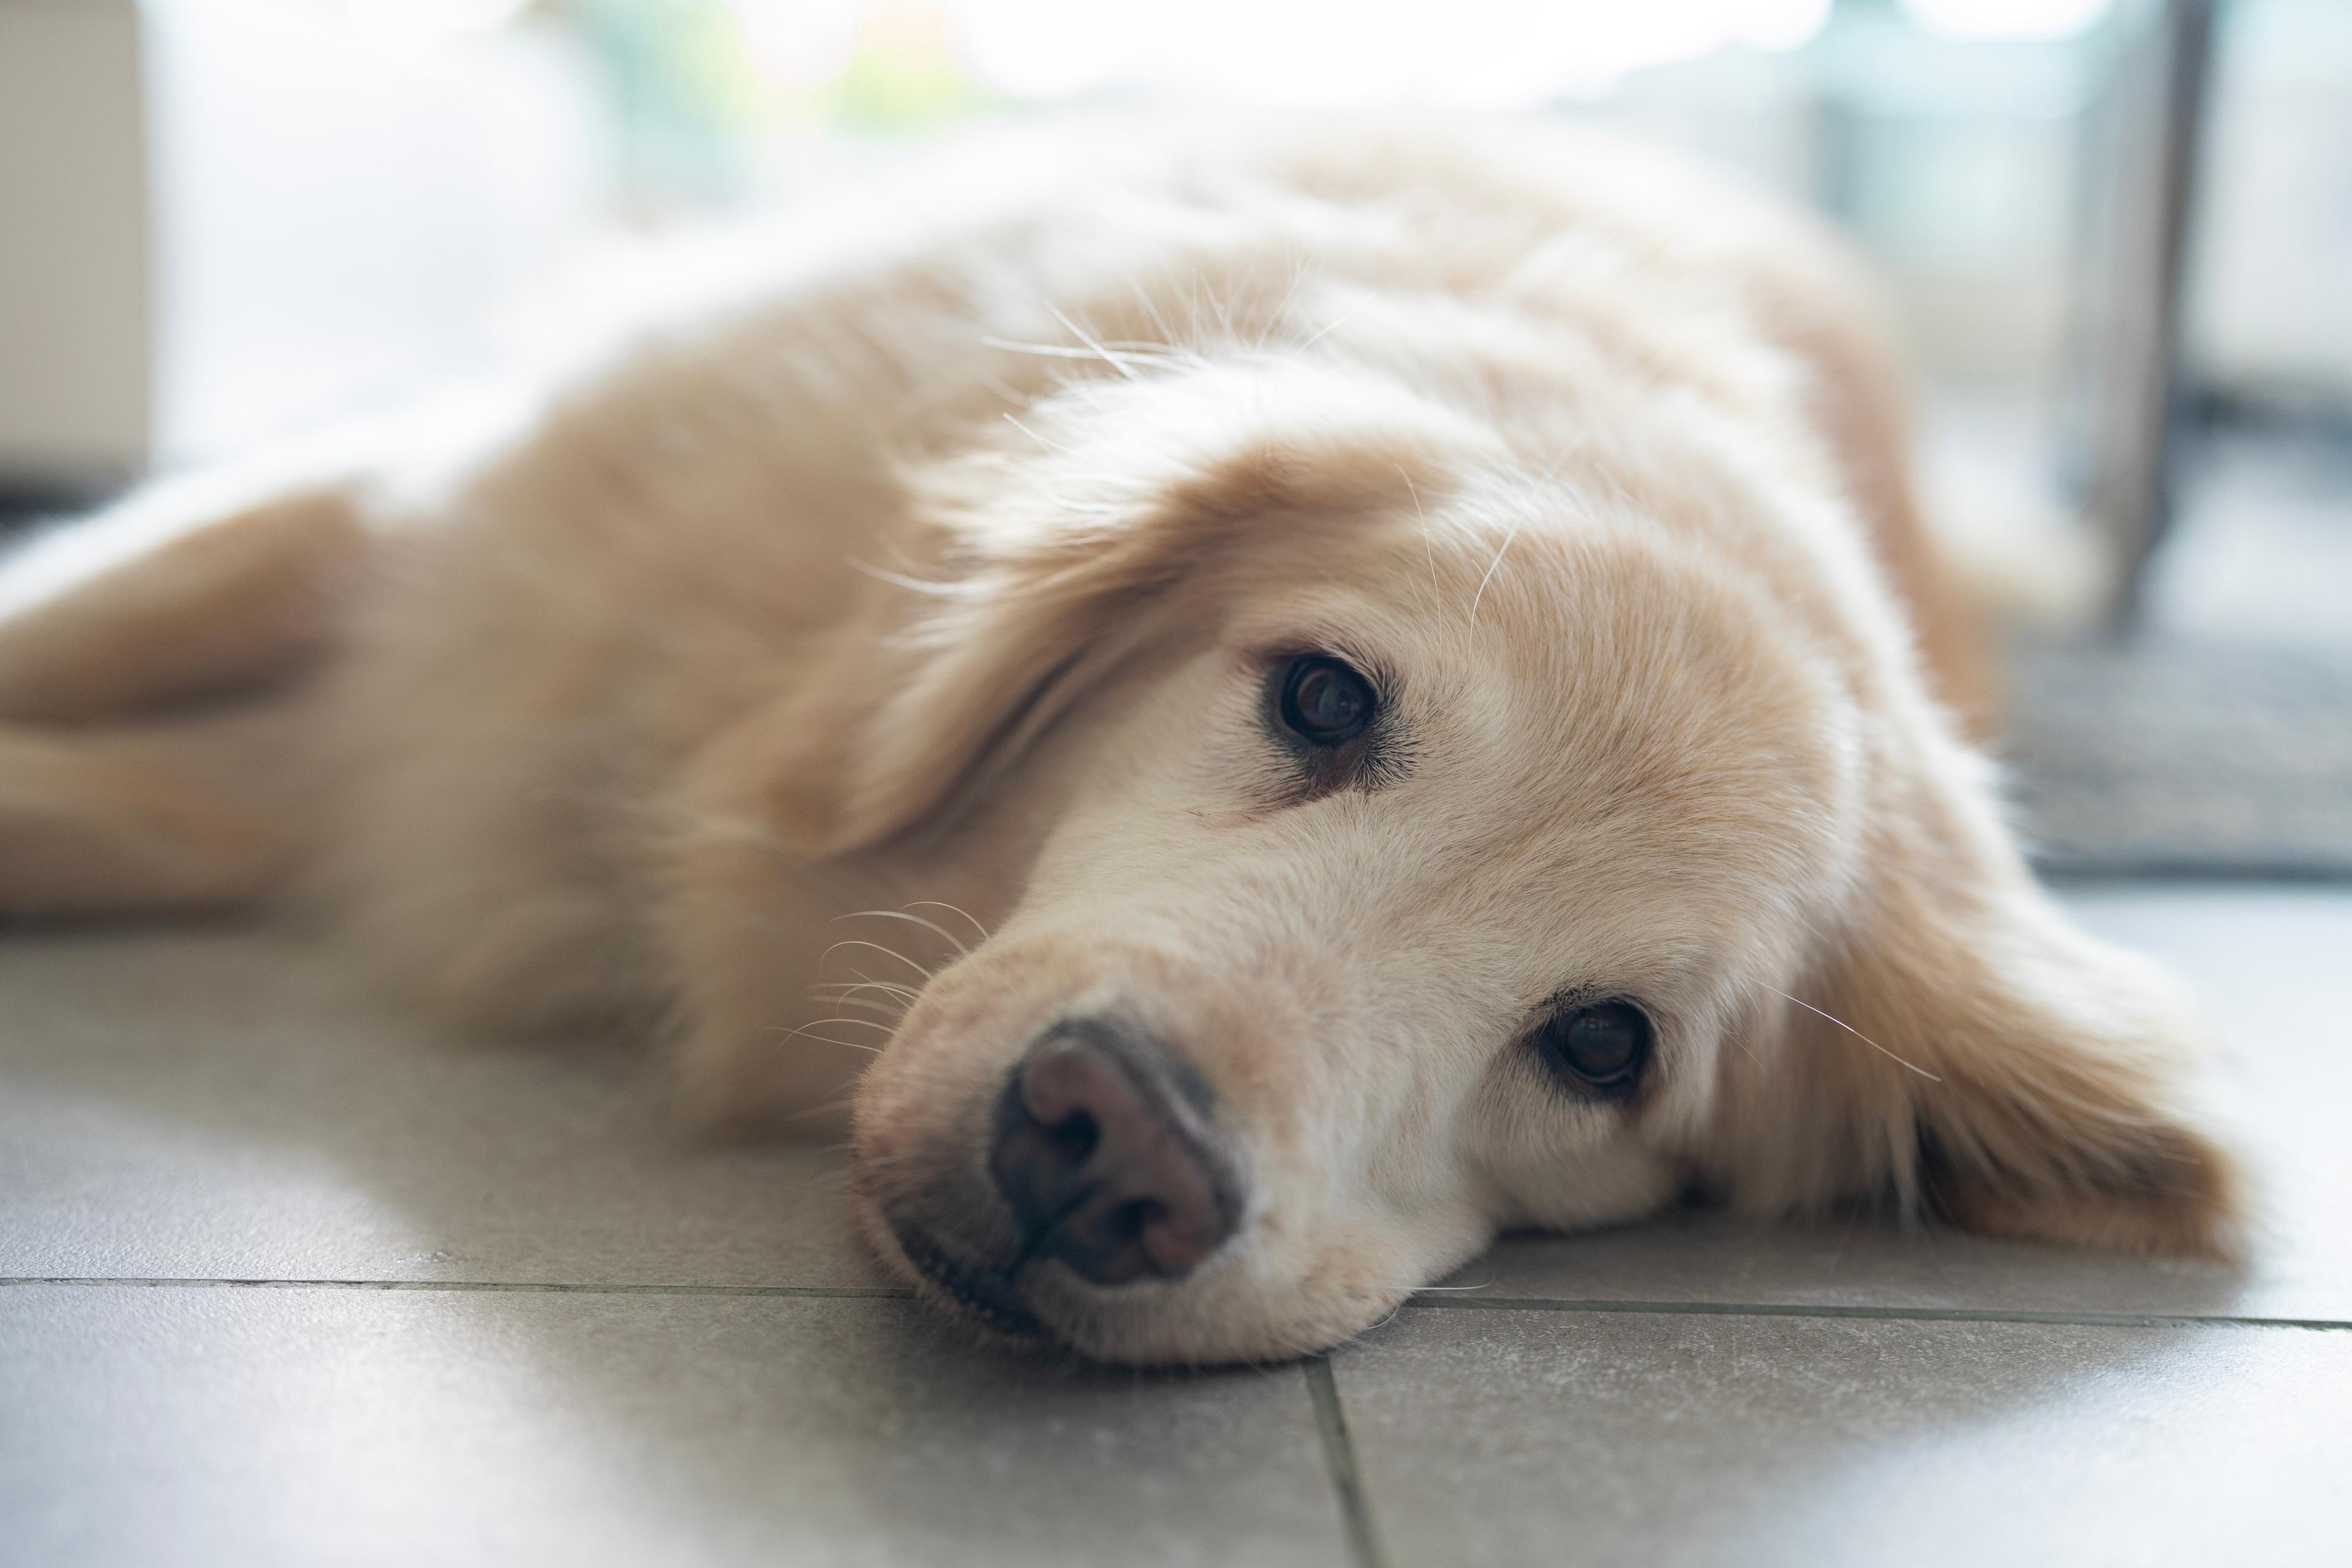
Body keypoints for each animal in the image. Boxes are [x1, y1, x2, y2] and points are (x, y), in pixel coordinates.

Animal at [0, 116, 2239, 1363]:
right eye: (1321, 698)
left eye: (1609, 1050)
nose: (1110, 1158)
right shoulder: (457, 542)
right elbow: (93, 613)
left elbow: (130, 810)